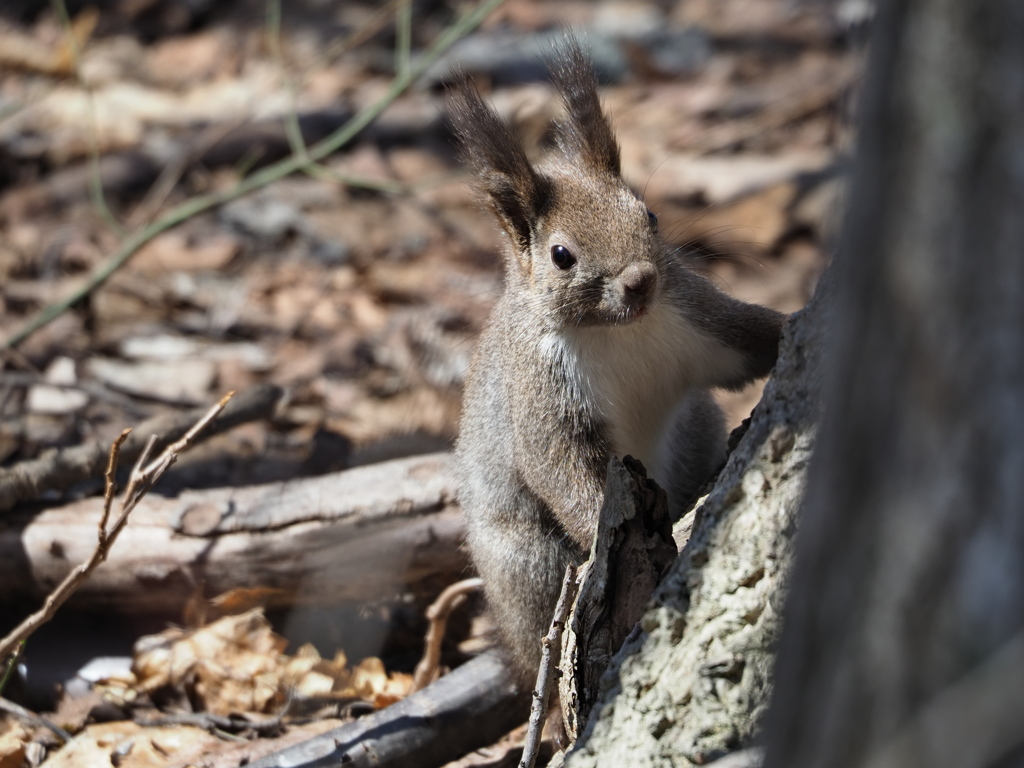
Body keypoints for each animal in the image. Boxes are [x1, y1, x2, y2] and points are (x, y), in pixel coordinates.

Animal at [450, 41, 782, 684]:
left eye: (648, 215)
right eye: (561, 255)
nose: (641, 281)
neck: (615, 332)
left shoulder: (696, 317)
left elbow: (750, 342)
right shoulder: (543, 394)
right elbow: (567, 474)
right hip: (528, 565)